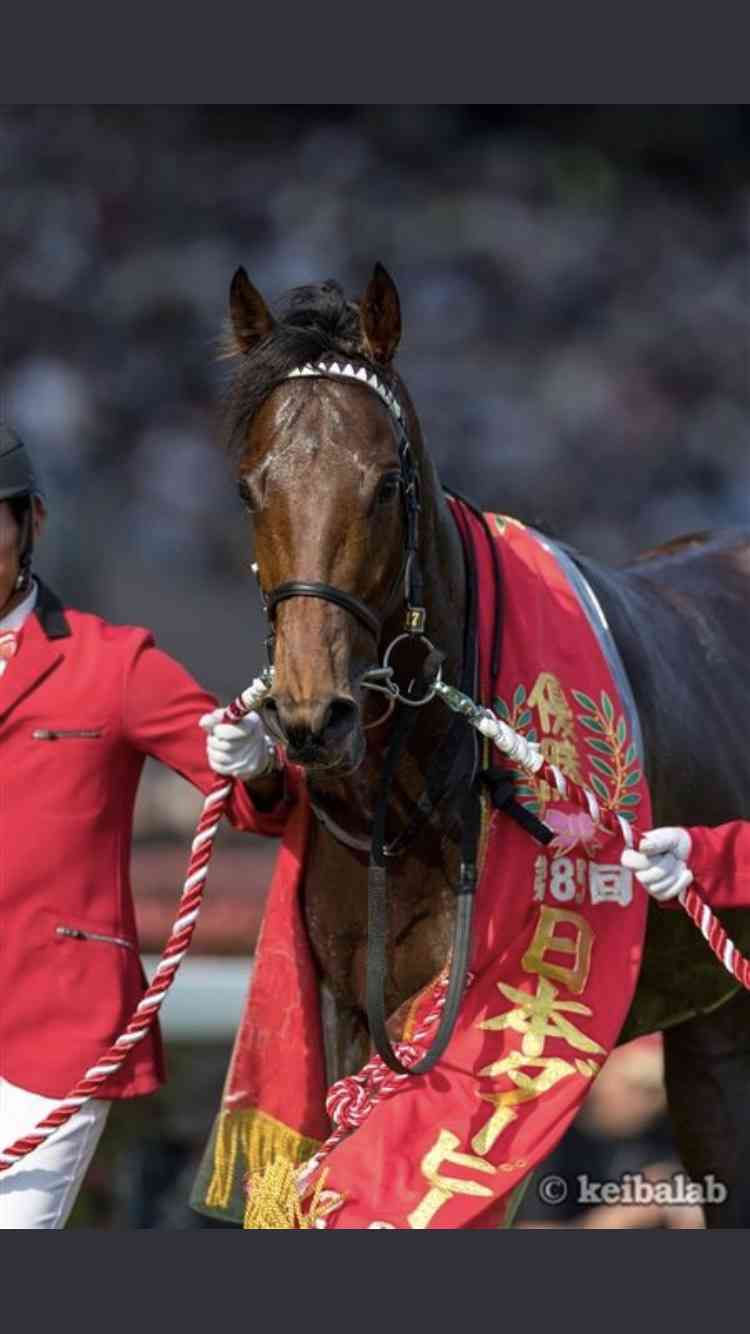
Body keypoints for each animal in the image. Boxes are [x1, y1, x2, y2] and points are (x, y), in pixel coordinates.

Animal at [223, 261, 750, 1227]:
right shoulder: (351, 1013)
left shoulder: (488, 1052)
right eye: (251, 488)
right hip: (715, 1023)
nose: (314, 716)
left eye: (385, 484)